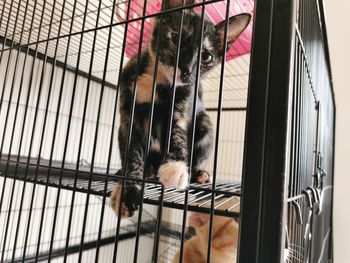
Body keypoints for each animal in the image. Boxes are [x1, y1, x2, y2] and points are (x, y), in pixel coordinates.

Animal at [110, 0, 250, 219]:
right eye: (176, 38)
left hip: (205, 124)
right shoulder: (128, 115)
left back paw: (199, 174)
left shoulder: (182, 107)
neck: (158, 82)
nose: (186, 70)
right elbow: (131, 154)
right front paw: (128, 190)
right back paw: (143, 171)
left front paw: (175, 167)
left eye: (206, 57)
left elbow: (177, 134)